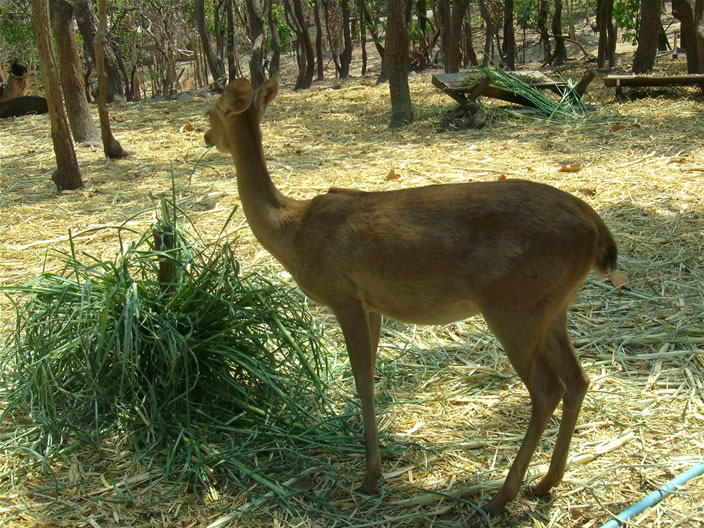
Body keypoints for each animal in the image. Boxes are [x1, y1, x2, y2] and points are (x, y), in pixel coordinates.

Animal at [204, 75, 616, 516]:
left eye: (211, 112)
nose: (207, 136)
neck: (291, 231)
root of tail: (597, 232)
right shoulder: (372, 304)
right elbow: (370, 375)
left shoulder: (343, 294)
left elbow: (362, 380)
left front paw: (371, 476)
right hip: (554, 308)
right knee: (577, 379)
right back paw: (546, 482)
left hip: (514, 306)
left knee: (547, 388)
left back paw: (502, 496)